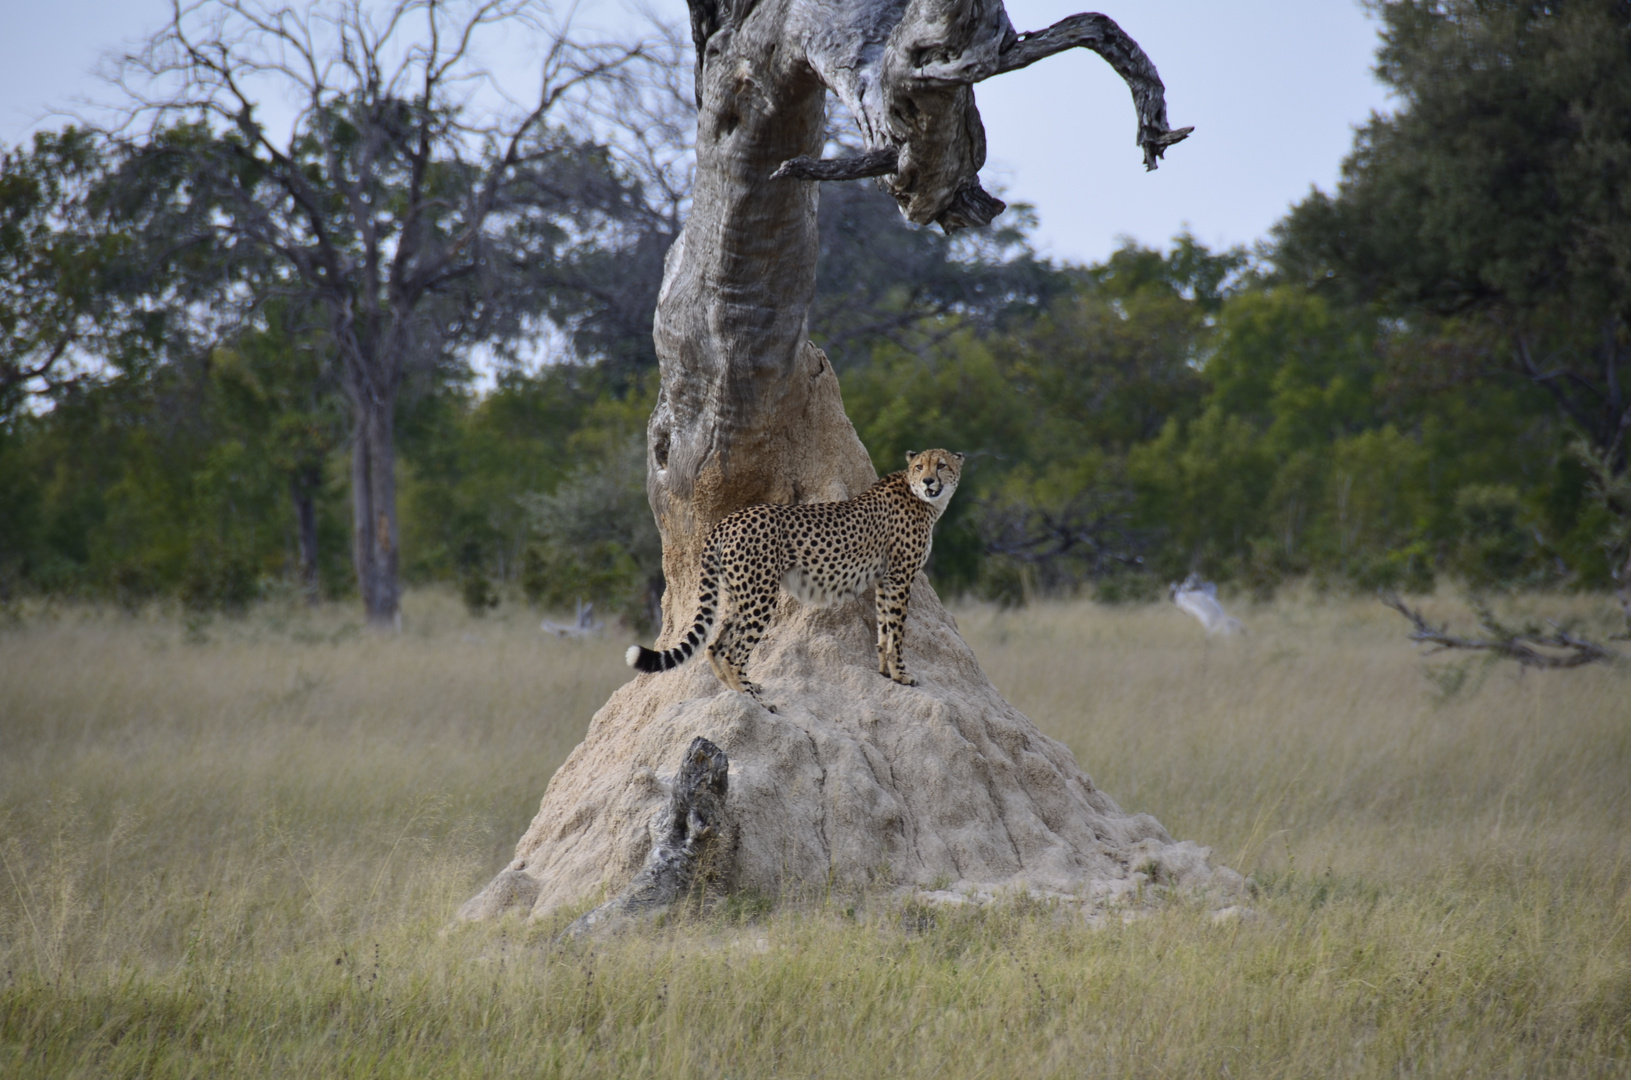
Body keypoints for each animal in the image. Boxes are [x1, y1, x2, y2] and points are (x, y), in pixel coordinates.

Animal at [619, 447, 952, 701]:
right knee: (733, 652)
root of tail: (727, 520)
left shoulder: (886, 579)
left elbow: (885, 627)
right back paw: (753, 696)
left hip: (740, 593)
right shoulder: (899, 577)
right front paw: (901, 674)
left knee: (715, 645)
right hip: (761, 594)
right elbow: (897, 629)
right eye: (920, 466)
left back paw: (737, 690)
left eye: (942, 465)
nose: (929, 481)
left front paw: (886, 671)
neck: (920, 498)